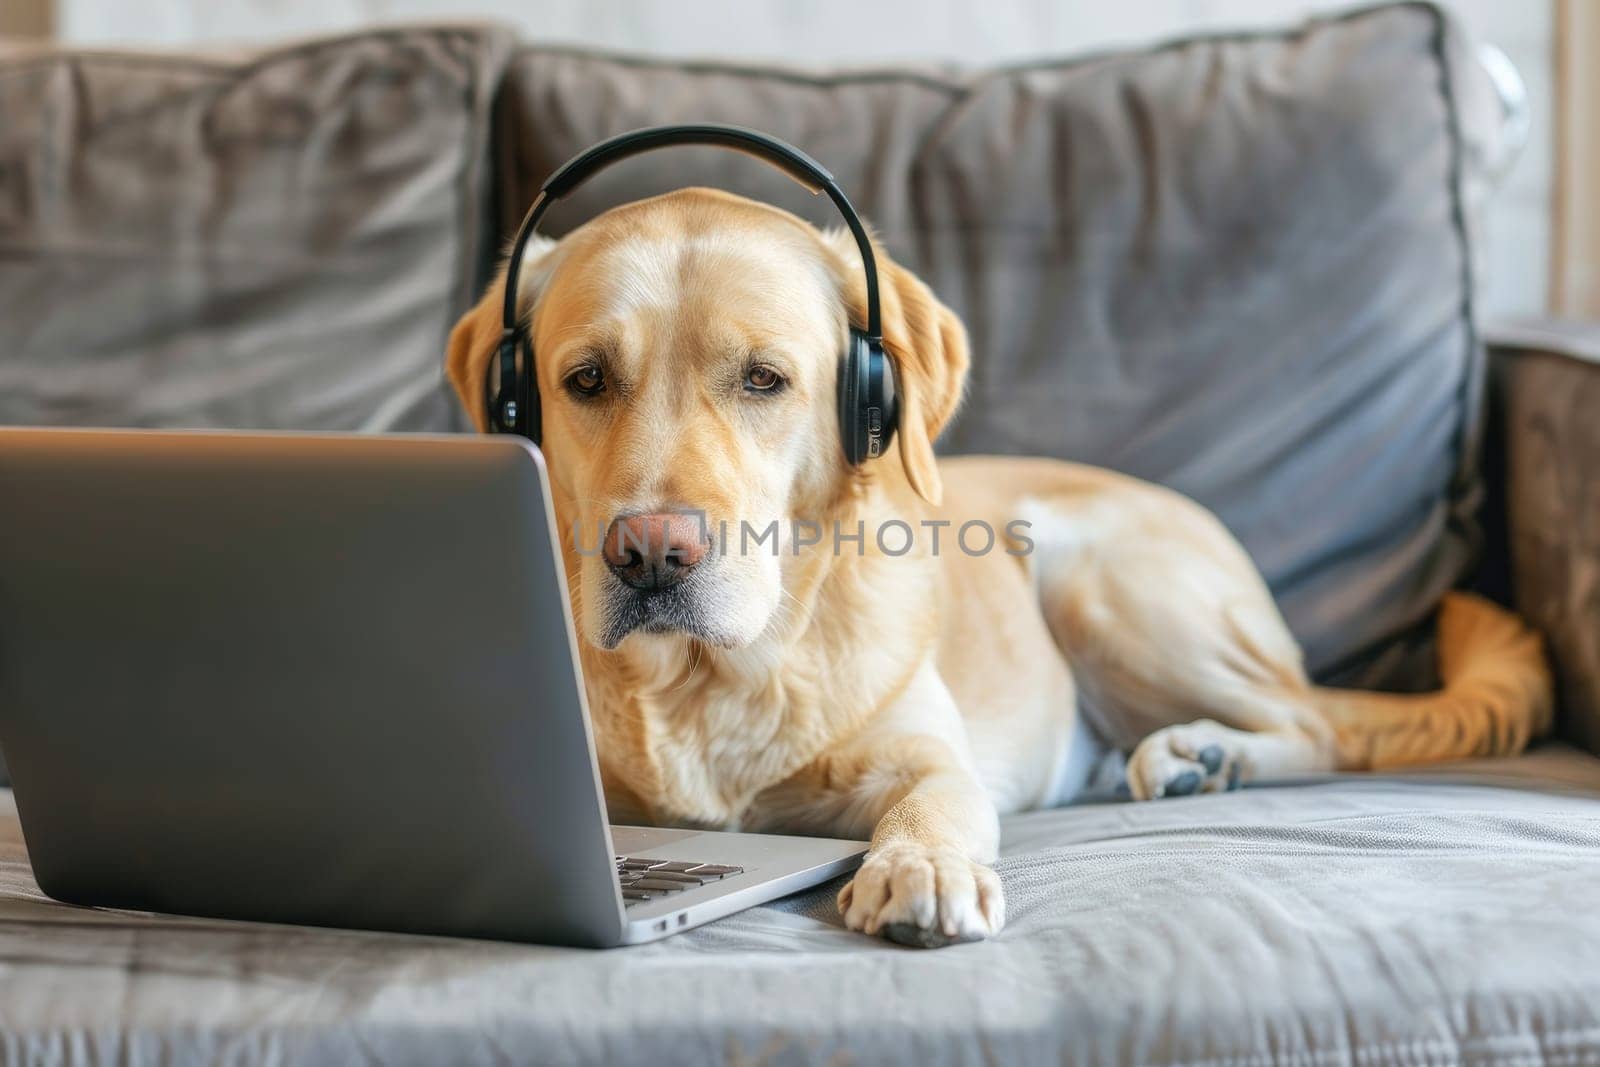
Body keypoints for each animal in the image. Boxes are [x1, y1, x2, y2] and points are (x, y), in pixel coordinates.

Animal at [444, 187, 1555, 947]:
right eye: (586, 380)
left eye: (763, 379)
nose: (649, 554)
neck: (706, 679)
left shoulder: (930, 755)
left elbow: (932, 802)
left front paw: (920, 868)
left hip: (1094, 574)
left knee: (1326, 724)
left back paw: (1210, 753)